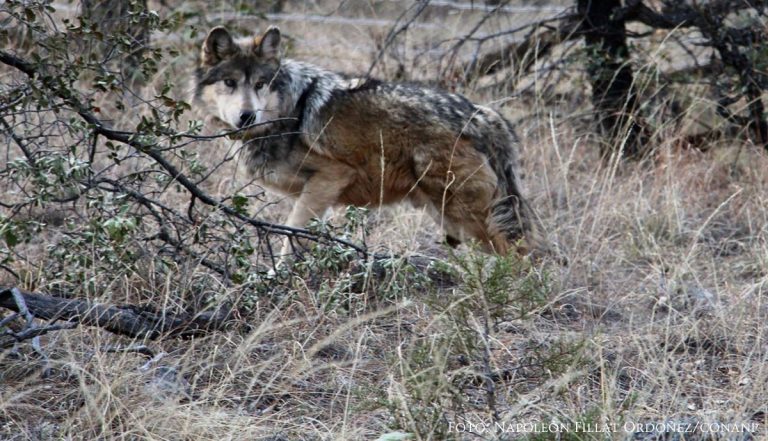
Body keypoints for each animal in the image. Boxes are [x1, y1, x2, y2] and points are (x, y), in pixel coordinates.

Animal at [195, 25, 548, 260]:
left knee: (524, 253)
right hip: (452, 219)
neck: (286, 113)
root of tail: (485, 116)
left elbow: (291, 238)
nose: (247, 116)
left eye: (259, 84)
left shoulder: (331, 177)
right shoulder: (317, 194)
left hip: (465, 215)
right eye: (230, 82)